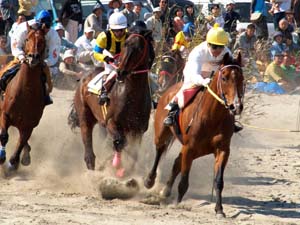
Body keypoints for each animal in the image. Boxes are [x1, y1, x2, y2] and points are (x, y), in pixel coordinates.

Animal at [0, 24, 46, 169]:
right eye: (26, 39)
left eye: (42, 40)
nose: (33, 57)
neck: (26, 92)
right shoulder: (4, 114)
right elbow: (4, 135)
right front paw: (2, 156)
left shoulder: (29, 124)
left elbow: (21, 142)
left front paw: (14, 162)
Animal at [69, 32, 151, 177]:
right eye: (125, 44)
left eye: (140, 48)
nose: (121, 72)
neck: (132, 96)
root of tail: (83, 77)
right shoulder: (111, 122)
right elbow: (120, 142)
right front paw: (116, 166)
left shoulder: (138, 130)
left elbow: (133, 153)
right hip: (85, 116)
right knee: (88, 145)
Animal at [144, 51, 245, 217]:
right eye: (224, 78)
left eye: (241, 78)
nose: (236, 106)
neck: (212, 117)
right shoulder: (190, 148)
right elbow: (184, 181)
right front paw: (177, 204)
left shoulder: (222, 150)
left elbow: (218, 181)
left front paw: (219, 209)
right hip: (163, 133)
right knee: (159, 151)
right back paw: (149, 180)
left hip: (197, 150)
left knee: (176, 162)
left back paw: (165, 191)